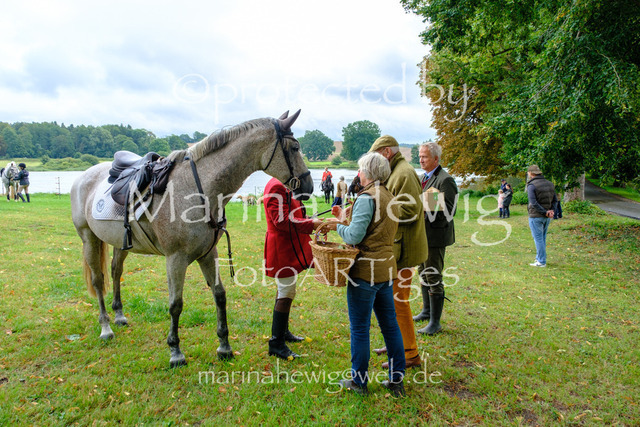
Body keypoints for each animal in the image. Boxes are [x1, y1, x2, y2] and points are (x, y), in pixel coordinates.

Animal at [70, 110, 313, 367]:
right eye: (295, 147)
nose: (309, 185)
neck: (197, 190)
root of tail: (84, 176)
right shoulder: (175, 259)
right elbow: (175, 304)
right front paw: (175, 351)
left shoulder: (208, 254)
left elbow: (219, 295)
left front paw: (224, 347)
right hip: (88, 238)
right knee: (98, 281)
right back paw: (106, 327)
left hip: (120, 243)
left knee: (116, 272)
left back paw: (118, 315)